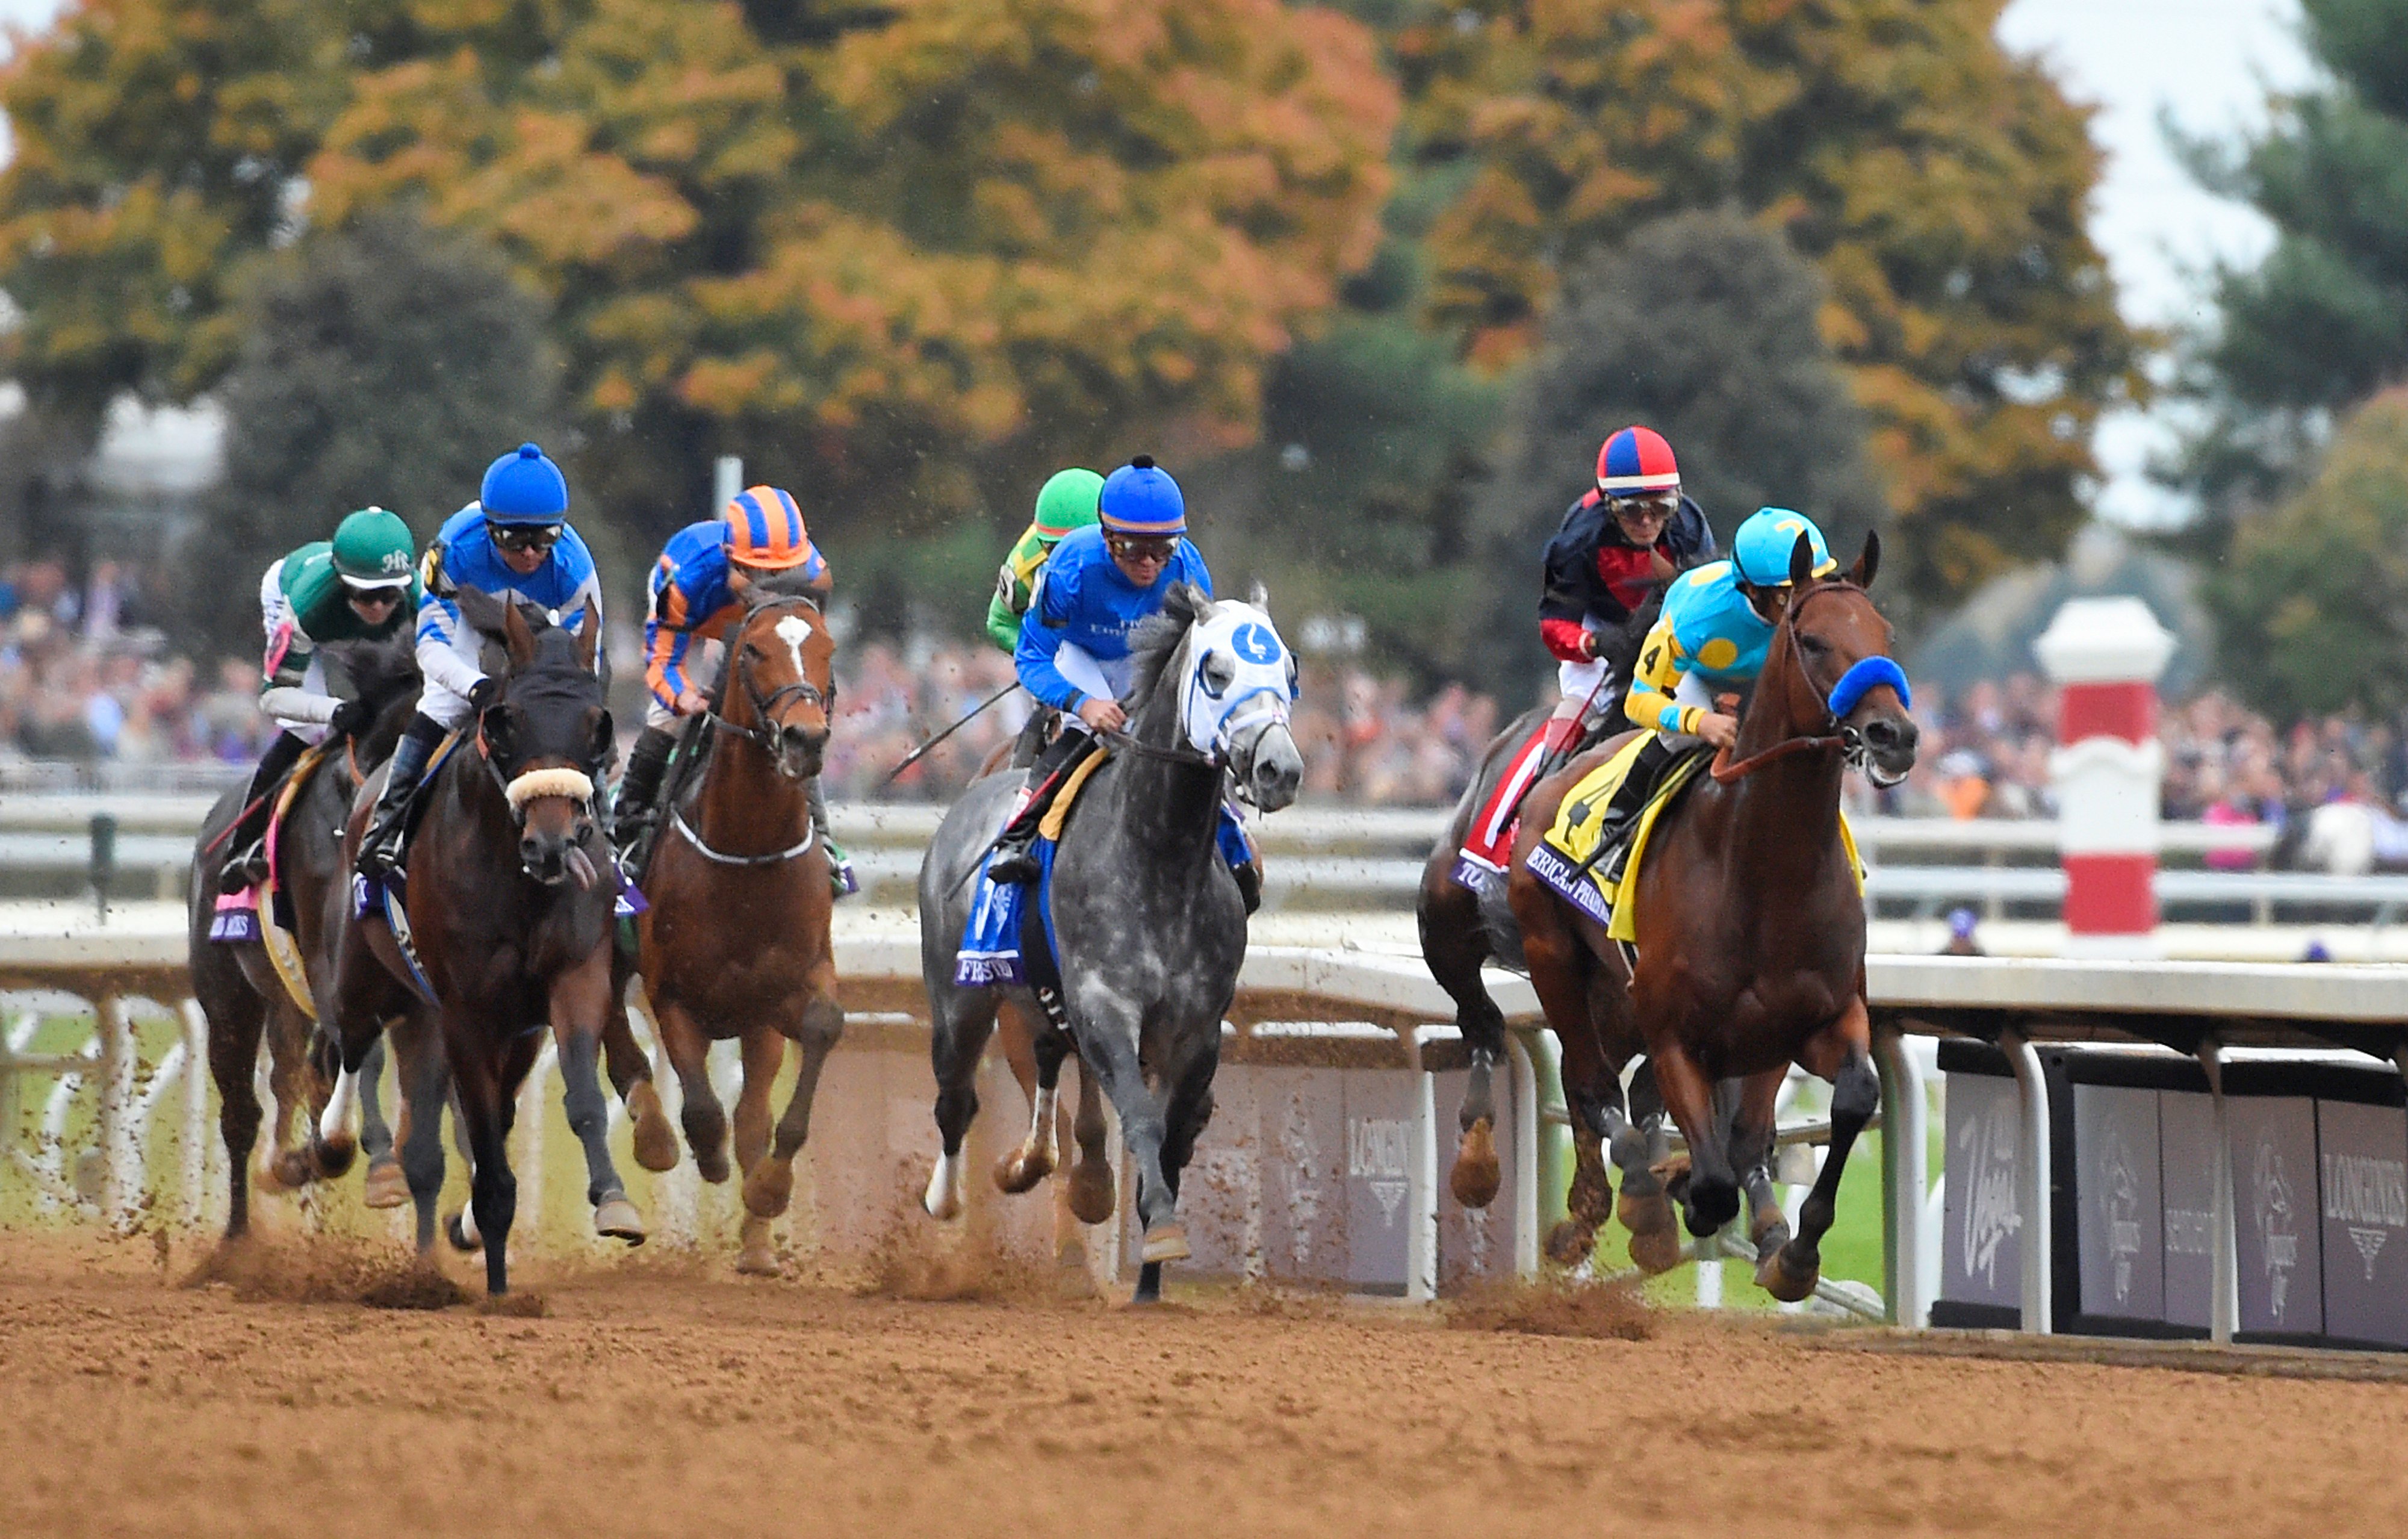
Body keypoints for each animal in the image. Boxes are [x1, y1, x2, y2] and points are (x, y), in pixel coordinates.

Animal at [187, 636, 419, 1243]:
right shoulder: (329, 964)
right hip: (229, 999)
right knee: (242, 1114)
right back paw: (240, 1237)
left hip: (286, 1002)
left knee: (299, 1076)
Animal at [330, 602, 631, 1301]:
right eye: (508, 720)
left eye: (596, 723)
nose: (551, 845)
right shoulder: (465, 1010)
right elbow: (486, 1140)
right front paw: (495, 1281)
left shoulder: (575, 977)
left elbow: (580, 1099)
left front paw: (613, 1200)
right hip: (365, 972)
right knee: (350, 1042)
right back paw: (345, 1148)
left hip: (517, 1031)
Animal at [636, 578, 852, 1272]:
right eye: (754, 649)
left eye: (828, 647)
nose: (805, 738)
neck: (748, 850)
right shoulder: (670, 993)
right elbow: (703, 1109)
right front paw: (707, 1157)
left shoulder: (793, 987)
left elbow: (819, 1033)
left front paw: (771, 1190)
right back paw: (655, 1140)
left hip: (757, 1026)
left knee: (753, 1111)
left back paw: (757, 1244)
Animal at [915, 583, 1300, 1310]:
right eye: (1215, 672)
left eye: (1289, 670)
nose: (1279, 769)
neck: (1159, 855)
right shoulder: (1105, 1005)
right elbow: (1143, 1120)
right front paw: (1159, 1234)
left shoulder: (1194, 1029)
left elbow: (1171, 1137)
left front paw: (1151, 1271)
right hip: (960, 1000)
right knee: (955, 1101)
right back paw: (947, 1201)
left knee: (1051, 1069)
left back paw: (1052, 1170)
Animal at [1503, 535, 1917, 1310]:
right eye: (1814, 641)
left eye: (1885, 636)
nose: (1893, 734)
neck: (1763, 873)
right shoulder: (1674, 1036)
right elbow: (1714, 1179)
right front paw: (1681, 1198)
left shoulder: (1811, 1018)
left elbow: (1846, 1101)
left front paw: (1794, 1254)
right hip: (1555, 960)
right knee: (1591, 1085)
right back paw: (1634, 1196)